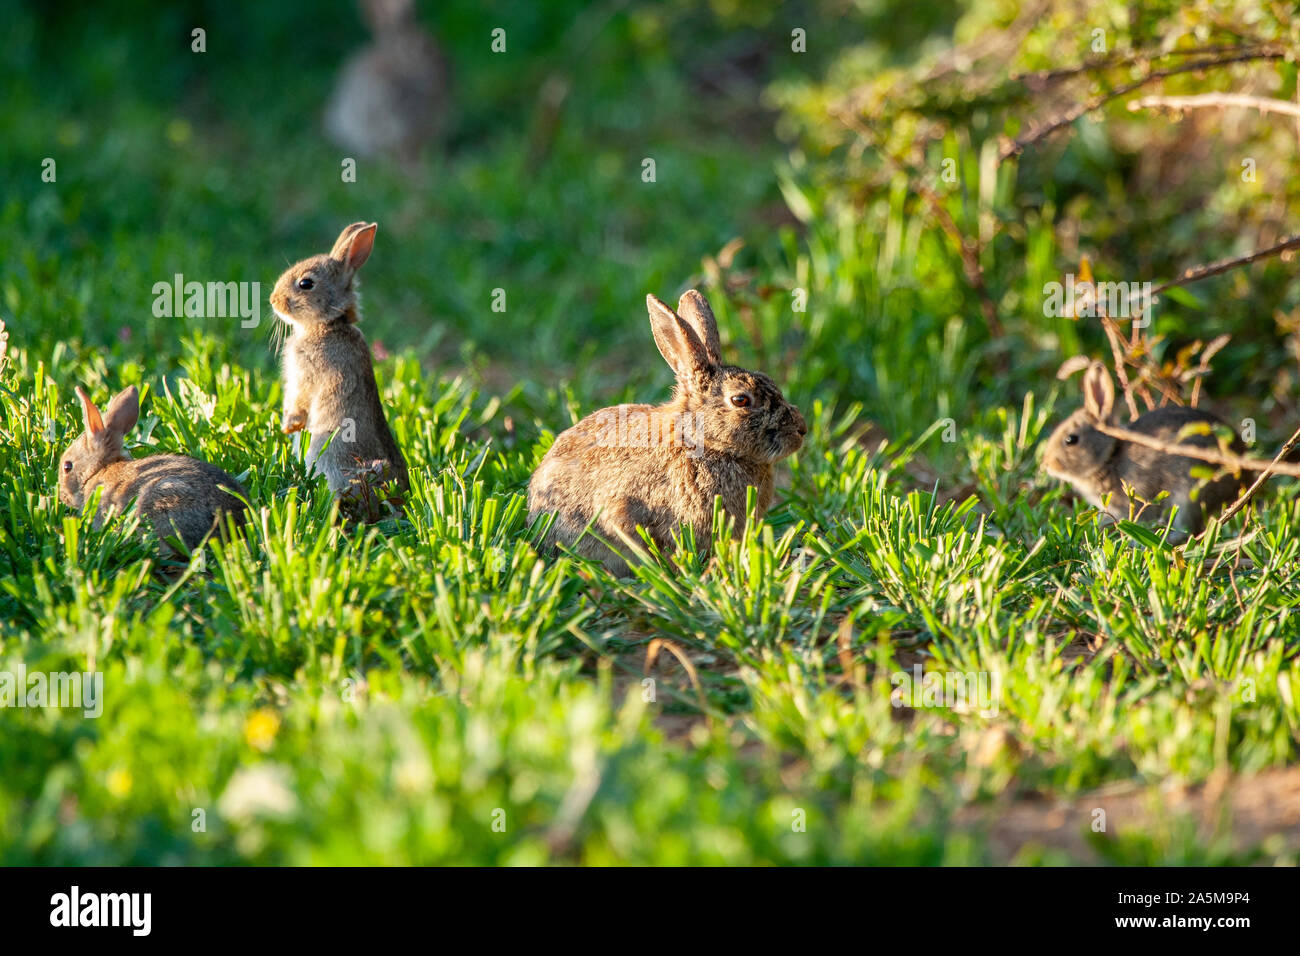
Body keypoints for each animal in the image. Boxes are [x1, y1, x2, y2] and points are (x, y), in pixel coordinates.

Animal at [265, 218, 403, 522]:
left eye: (305, 283)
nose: (273, 300)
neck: (327, 324)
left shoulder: (307, 377)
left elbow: (300, 401)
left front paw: (289, 425)